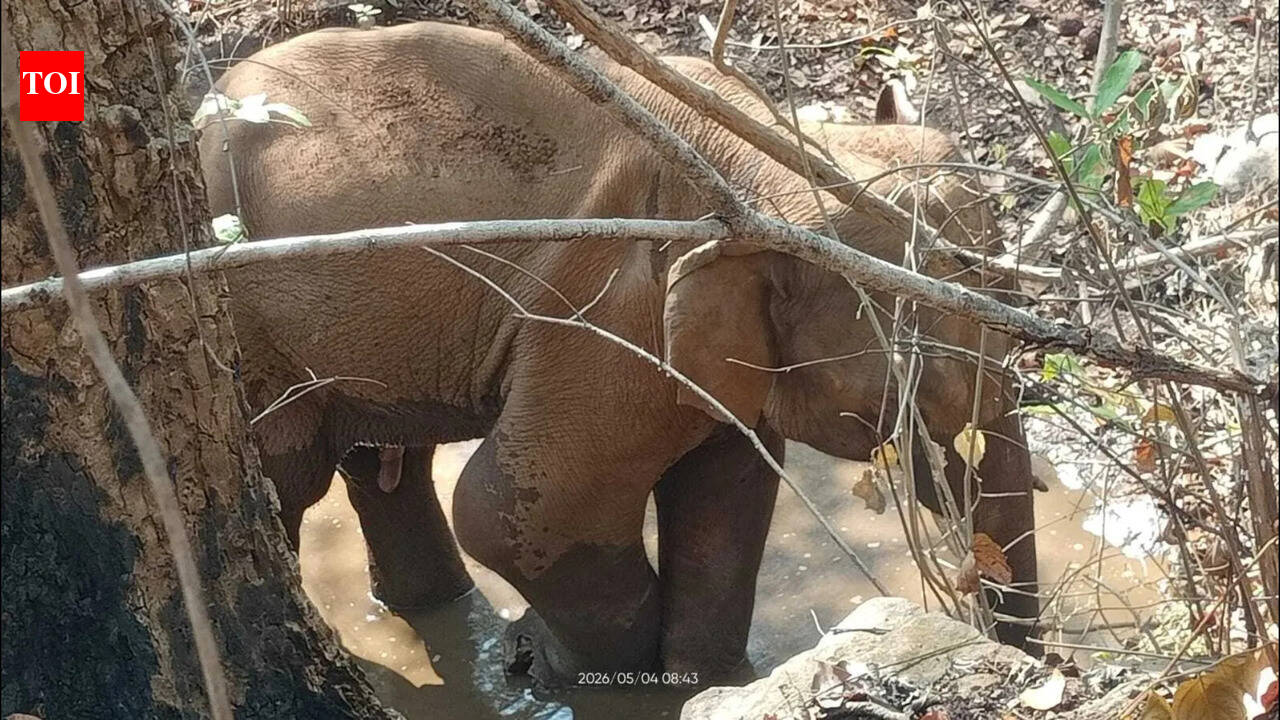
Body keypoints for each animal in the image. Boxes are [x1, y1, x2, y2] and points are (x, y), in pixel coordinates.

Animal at [198, 21, 1039, 685]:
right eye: (921, 394)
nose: (1031, 660)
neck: (755, 149)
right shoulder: (607, 314)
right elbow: (516, 509)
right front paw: (571, 674)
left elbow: (726, 491)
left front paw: (703, 679)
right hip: (250, 334)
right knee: (289, 478)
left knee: (381, 464)